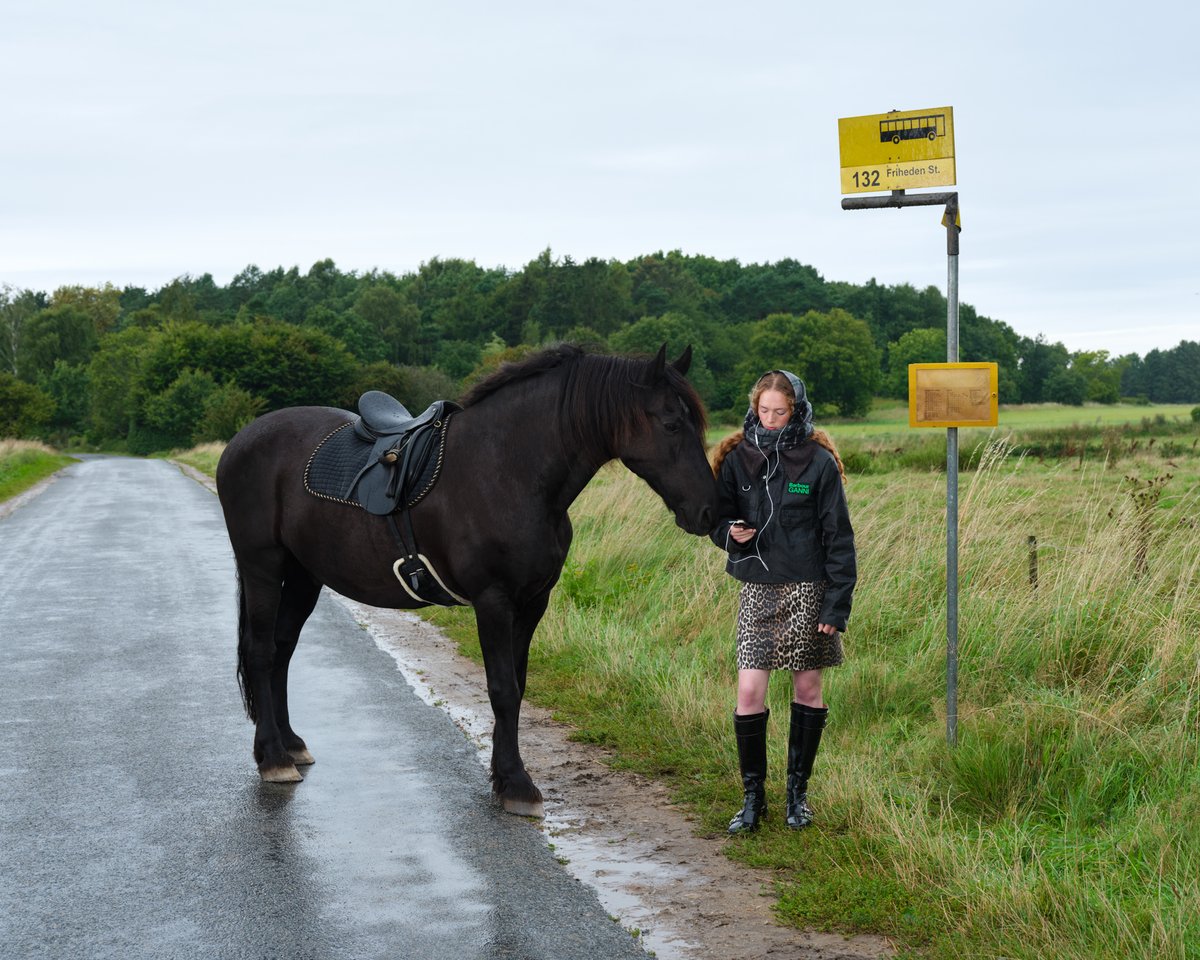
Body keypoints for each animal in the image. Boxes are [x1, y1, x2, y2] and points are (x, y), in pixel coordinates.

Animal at [214, 345, 710, 816]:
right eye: (671, 424)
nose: (710, 510)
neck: (508, 469)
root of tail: (242, 440)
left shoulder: (533, 603)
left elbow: (518, 684)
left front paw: (502, 774)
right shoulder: (494, 601)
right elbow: (502, 689)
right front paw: (517, 784)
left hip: (303, 576)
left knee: (282, 650)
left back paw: (290, 744)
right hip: (263, 566)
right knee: (261, 652)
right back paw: (274, 758)